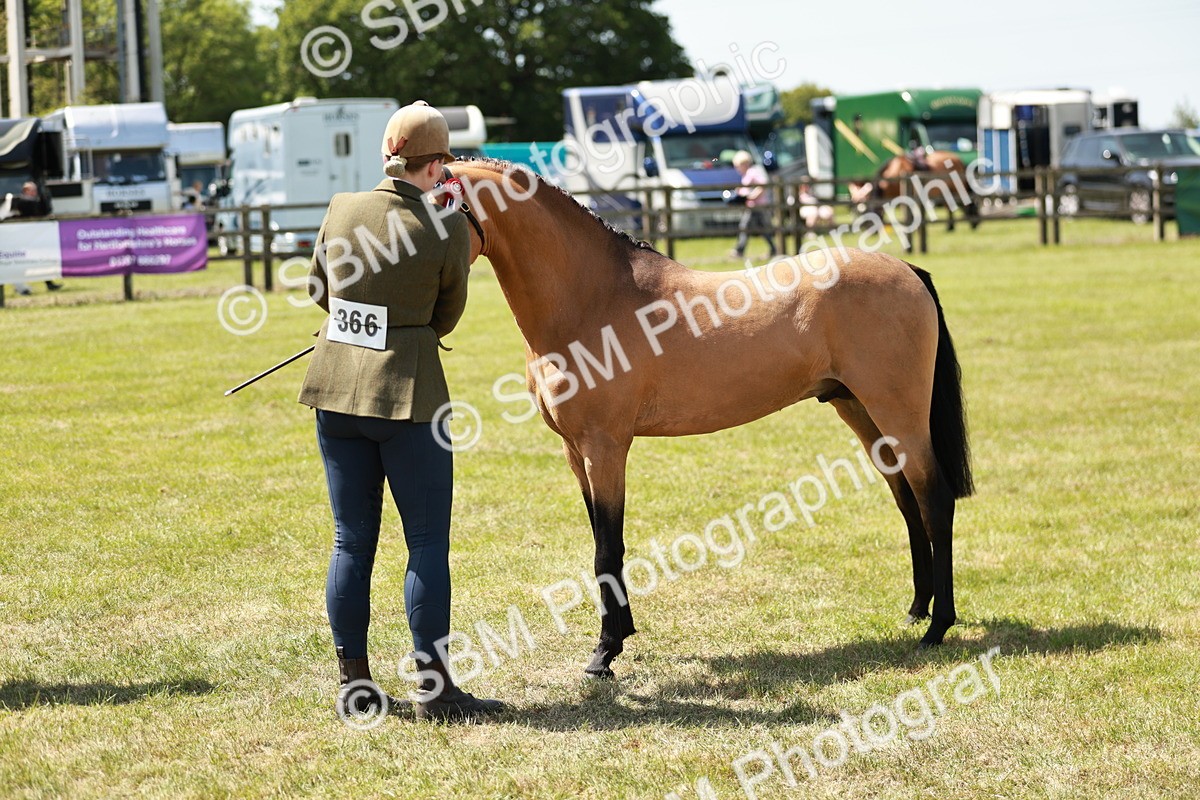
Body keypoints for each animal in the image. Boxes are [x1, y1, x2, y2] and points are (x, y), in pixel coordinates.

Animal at [446, 159, 974, 679]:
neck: (593, 299)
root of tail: (906, 268)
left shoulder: (605, 446)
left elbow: (607, 548)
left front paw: (604, 653)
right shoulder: (574, 450)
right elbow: (601, 538)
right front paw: (622, 634)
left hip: (899, 415)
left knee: (934, 500)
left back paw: (937, 627)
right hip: (863, 414)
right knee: (907, 501)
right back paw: (917, 610)